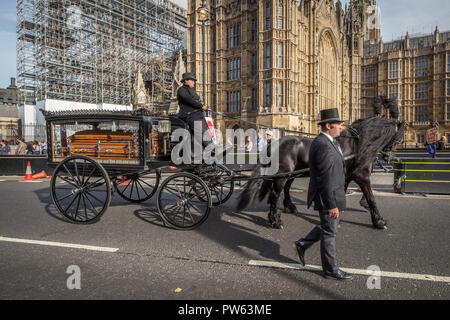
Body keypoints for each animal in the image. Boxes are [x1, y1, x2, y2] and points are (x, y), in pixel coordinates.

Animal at [236, 116, 404, 229]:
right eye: (399, 138)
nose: (389, 158)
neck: (357, 145)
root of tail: (275, 142)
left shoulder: (346, 177)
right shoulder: (361, 176)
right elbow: (371, 197)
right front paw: (379, 221)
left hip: (291, 174)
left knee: (285, 190)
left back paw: (289, 208)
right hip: (282, 174)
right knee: (275, 194)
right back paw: (275, 221)